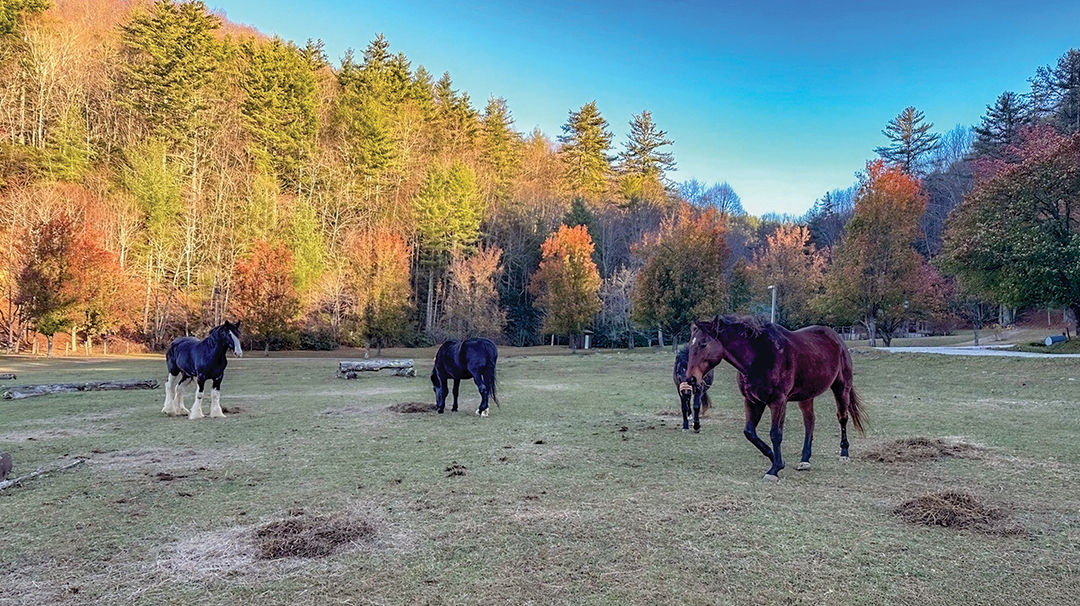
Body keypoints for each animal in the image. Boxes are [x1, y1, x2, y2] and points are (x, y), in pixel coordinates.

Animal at [685, 316, 865, 480]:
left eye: (703, 344)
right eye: (691, 345)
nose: (691, 379)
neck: (759, 356)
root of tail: (837, 338)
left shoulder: (778, 401)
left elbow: (775, 434)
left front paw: (774, 469)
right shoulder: (753, 401)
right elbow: (749, 432)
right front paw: (776, 459)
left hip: (841, 388)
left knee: (842, 417)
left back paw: (844, 453)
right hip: (806, 395)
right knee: (809, 421)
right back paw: (805, 460)